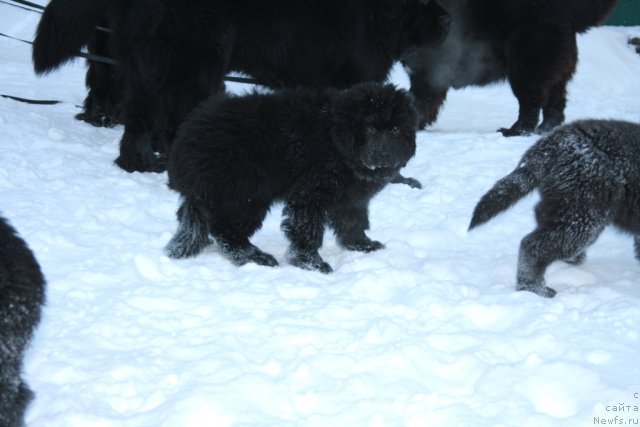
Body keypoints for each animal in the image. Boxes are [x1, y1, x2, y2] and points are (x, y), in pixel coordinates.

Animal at [31, 0, 450, 174]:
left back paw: (141, 165)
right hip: (195, 62)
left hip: (142, 69)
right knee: (172, 121)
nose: (448, 21)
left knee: (137, 124)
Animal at [164, 83, 420, 274]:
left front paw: (361, 245)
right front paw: (310, 263)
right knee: (227, 231)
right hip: (247, 192)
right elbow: (308, 229)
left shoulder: (351, 196)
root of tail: (185, 138)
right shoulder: (310, 192)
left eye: (395, 129)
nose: (384, 155)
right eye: (369, 128)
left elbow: (354, 221)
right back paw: (254, 257)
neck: (337, 140)